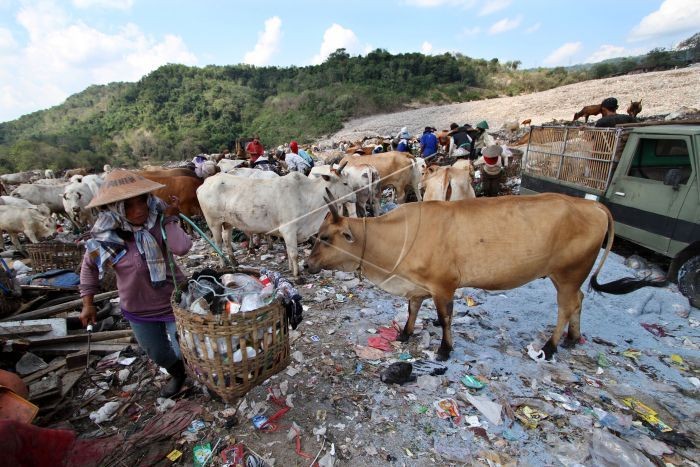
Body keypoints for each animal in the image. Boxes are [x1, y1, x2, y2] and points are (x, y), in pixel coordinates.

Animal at [198, 172, 356, 278]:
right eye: (345, 183)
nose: (355, 197)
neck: (306, 194)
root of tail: (205, 182)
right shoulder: (288, 229)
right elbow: (294, 254)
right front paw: (297, 275)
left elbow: (289, 252)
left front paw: (290, 269)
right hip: (214, 223)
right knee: (218, 242)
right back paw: (223, 264)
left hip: (227, 222)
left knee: (226, 239)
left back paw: (234, 262)